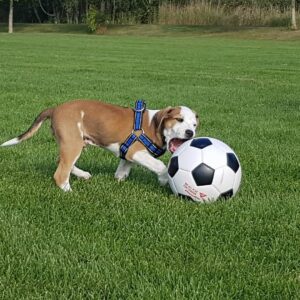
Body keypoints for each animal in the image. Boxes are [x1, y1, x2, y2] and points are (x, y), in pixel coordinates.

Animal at [2, 99, 200, 191]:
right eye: (179, 120)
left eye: (194, 125)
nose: (190, 133)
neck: (153, 125)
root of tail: (56, 108)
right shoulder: (135, 152)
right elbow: (160, 165)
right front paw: (164, 179)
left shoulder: (127, 155)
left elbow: (122, 171)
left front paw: (119, 179)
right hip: (73, 143)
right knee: (60, 172)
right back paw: (68, 191)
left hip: (73, 143)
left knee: (62, 161)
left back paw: (82, 174)